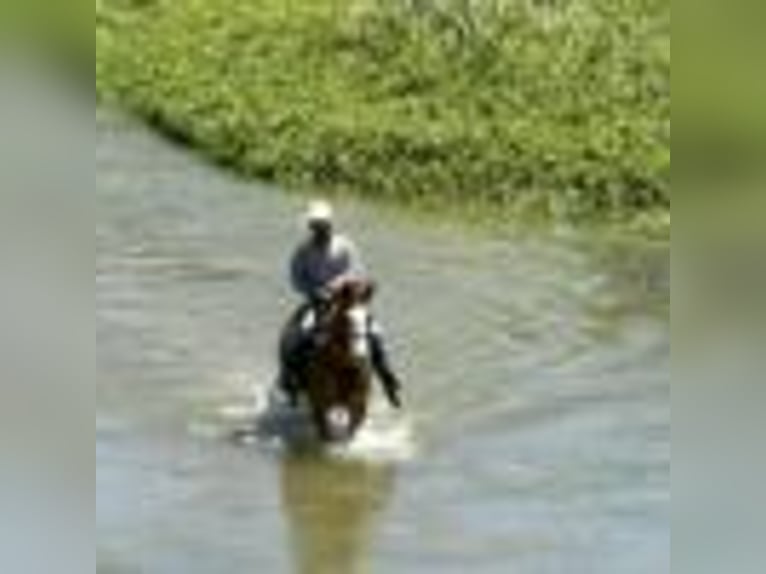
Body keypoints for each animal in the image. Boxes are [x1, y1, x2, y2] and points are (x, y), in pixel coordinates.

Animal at [279, 278, 376, 442]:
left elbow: (351, 431)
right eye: (346, 318)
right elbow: (325, 433)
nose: (361, 356)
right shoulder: (320, 405)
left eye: (368, 318)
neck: (341, 366)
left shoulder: (358, 405)